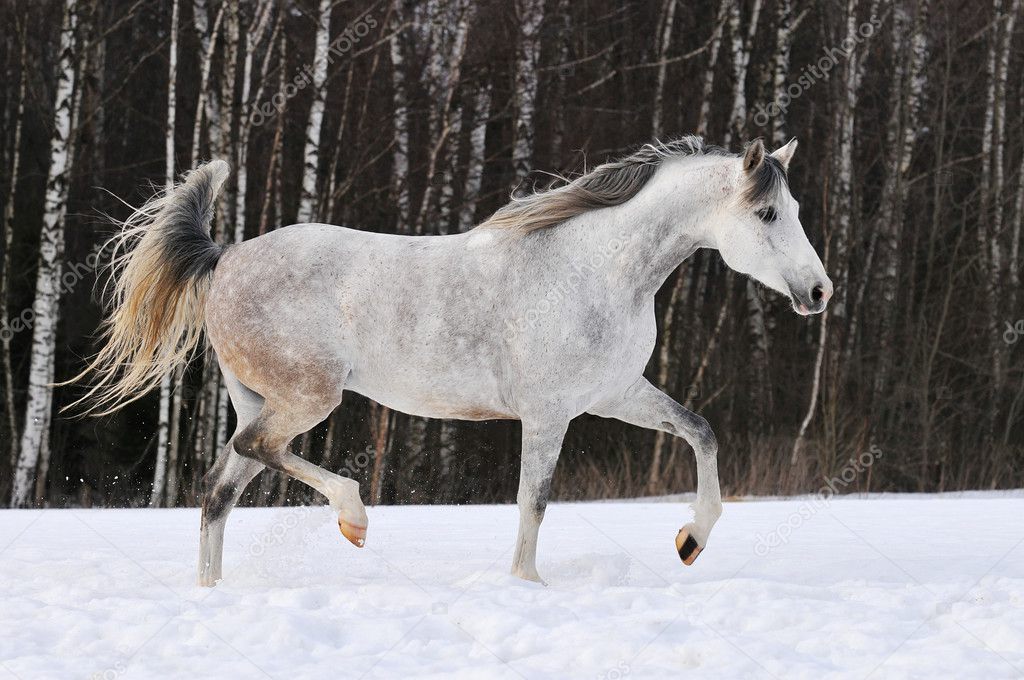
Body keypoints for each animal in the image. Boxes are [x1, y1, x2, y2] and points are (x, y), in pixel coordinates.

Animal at [66, 134, 831, 585]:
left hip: (265, 398)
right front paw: (527, 584)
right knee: (251, 455)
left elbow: (701, 431)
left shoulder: (616, 394)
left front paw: (690, 541)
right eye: (767, 215)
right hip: (308, 397)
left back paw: (214, 592)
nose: (819, 292)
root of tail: (224, 258)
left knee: (219, 490)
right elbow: (535, 499)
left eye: (793, 207)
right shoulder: (549, 414)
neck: (595, 267)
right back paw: (354, 517)